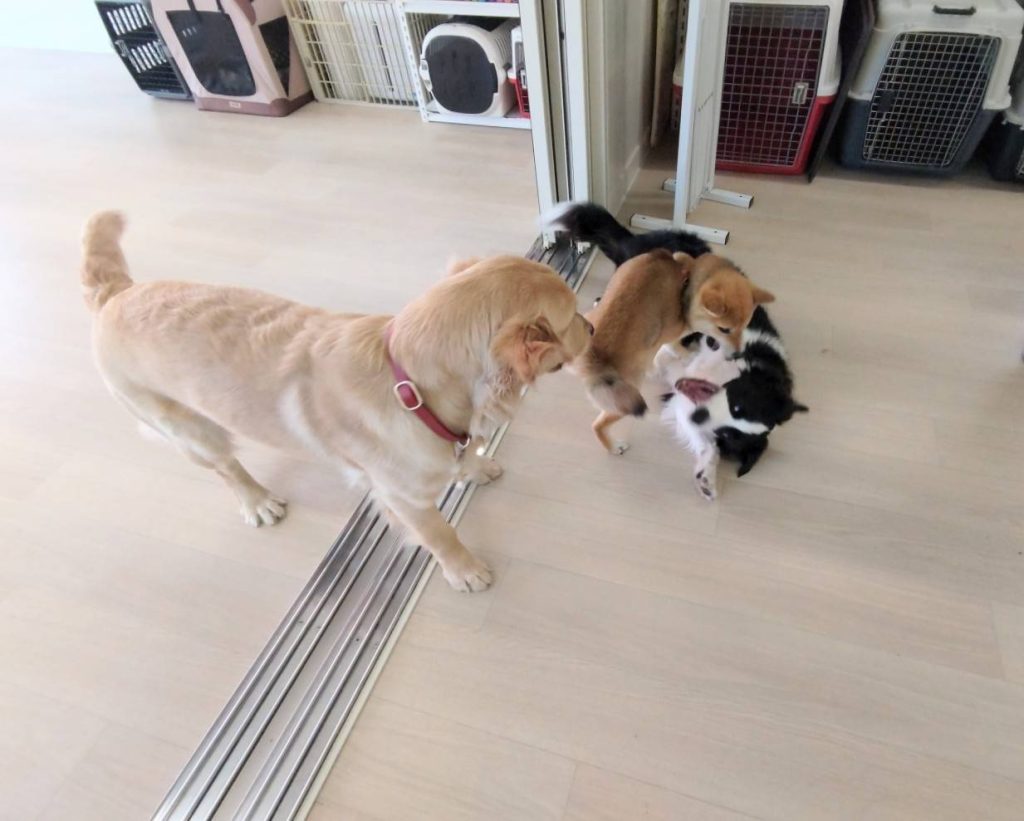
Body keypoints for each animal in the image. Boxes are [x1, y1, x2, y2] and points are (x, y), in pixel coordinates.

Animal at [81, 211, 592, 592]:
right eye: (570, 315)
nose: (591, 327)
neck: (409, 385)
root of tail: (116, 294)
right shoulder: (403, 498)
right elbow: (440, 534)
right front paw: (464, 571)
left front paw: (476, 466)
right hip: (189, 429)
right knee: (227, 469)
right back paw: (257, 501)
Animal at [658, 307, 808, 499]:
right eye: (736, 403)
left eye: (726, 435)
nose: (699, 416)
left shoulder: (682, 406)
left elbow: (709, 447)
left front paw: (707, 479)